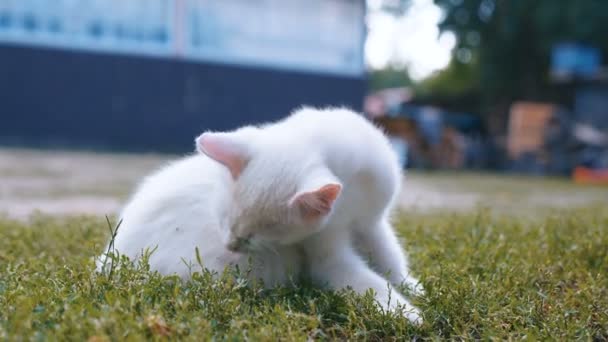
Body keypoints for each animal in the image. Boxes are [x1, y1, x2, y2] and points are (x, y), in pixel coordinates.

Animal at [198, 107, 422, 324]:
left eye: (261, 233)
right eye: (226, 220)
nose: (230, 246)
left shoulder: (372, 221)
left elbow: (388, 253)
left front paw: (409, 286)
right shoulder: (324, 250)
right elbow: (364, 280)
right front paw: (403, 311)